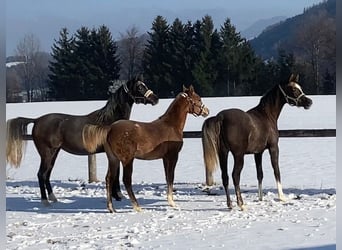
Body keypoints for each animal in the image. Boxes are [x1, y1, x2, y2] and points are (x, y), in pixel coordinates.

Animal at [6, 79, 159, 206]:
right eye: (140, 87)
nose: (155, 99)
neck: (110, 121)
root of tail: (37, 120)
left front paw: (117, 196)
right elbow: (115, 174)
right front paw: (119, 195)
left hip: (54, 153)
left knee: (47, 174)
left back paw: (53, 198)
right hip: (47, 153)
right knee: (41, 174)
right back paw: (45, 201)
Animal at [203, 74, 312, 211]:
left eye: (299, 87)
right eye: (293, 89)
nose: (309, 102)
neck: (266, 116)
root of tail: (220, 117)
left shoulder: (258, 153)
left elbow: (260, 174)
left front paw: (260, 198)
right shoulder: (273, 148)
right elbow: (276, 170)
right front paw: (282, 197)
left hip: (223, 153)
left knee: (225, 176)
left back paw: (230, 204)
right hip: (238, 156)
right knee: (235, 176)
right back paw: (241, 204)